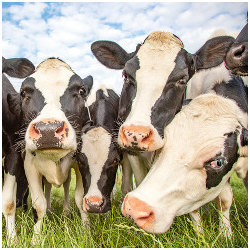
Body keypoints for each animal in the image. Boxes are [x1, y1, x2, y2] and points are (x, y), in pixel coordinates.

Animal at [7, 57, 94, 243]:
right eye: (23, 93)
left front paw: (86, 231)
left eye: (82, 90)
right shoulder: (30, 165)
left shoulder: (79, 162)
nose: (48, 129)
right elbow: (38, 204)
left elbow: (80, 197)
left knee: (67, 185)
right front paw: (36, 239)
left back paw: (66, 212)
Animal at [121, 92, 248, 236]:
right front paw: (200, 235)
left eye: (218, 162)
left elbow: (224, 200)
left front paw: (225, 235)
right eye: (162, 147)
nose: (134, 208)